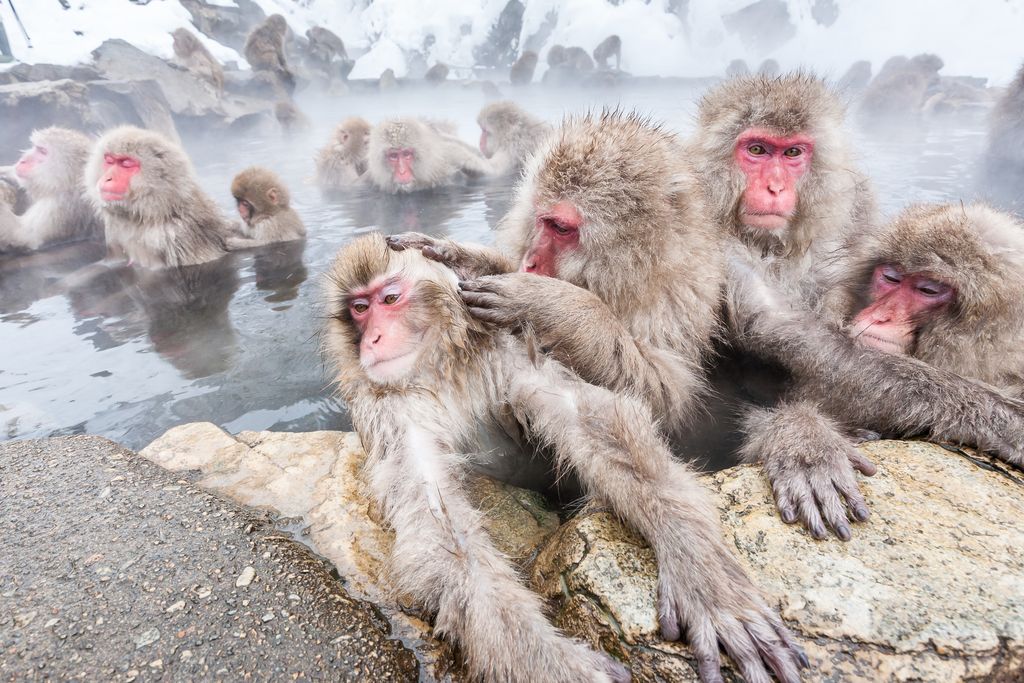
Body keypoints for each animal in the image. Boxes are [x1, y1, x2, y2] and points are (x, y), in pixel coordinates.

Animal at [325, 233, 807, 683]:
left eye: (390, 299)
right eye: (359, 308)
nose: (372, 339)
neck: (444, 365)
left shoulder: (504, 347)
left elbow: (588, 418)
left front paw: (699, 569)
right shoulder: (387, 412)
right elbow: (438, 522)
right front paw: (548, 659)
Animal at [387, 110, 725, 442]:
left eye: (561, 228)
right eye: (539, 218)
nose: (530, 262)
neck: (636, 276)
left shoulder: (675, 306)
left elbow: (665, 397)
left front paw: (548, 304)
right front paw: (456, 255)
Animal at [693, 72, 1024, 540]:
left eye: (792, 153)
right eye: (756, 150)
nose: (774, 187)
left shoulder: (859, 200)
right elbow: (772, 325)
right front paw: (802, 438)